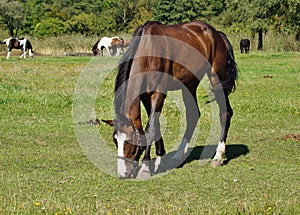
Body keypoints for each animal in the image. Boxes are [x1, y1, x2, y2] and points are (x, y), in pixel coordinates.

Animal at [102, 20, 238, 178]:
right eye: (115, 140)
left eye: (129, 141)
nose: (122, 174)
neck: (148, 49)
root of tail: (217, 34)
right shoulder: (146, 96)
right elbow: (154, 125)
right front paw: (158, 159)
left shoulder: (159, 93)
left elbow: (150, 129)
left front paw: (145, 167)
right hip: (189, 84)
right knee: (193, 115)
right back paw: (178, 156)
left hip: (217, 79)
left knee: (225, 112)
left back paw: (218, 156)